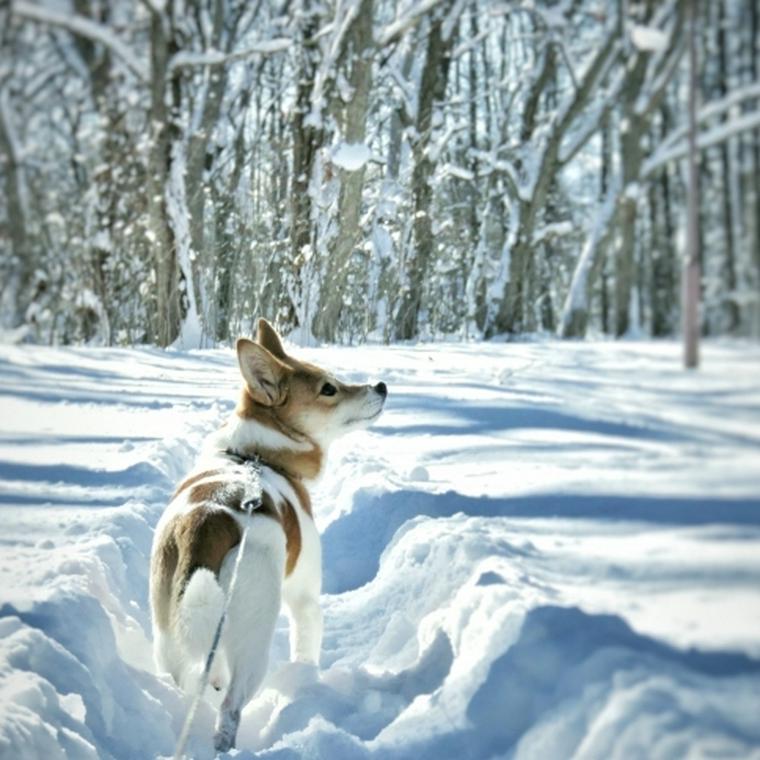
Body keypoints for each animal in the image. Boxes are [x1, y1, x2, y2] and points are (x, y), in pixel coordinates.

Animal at [150, 318, 386, 752]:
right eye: (329, 388)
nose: (381, 386)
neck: (257, 456)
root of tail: (204, 524)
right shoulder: (305, 597)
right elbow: (307, 644)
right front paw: (307, 678)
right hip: (253, 640)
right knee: (231, 708)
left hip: (169, 634)